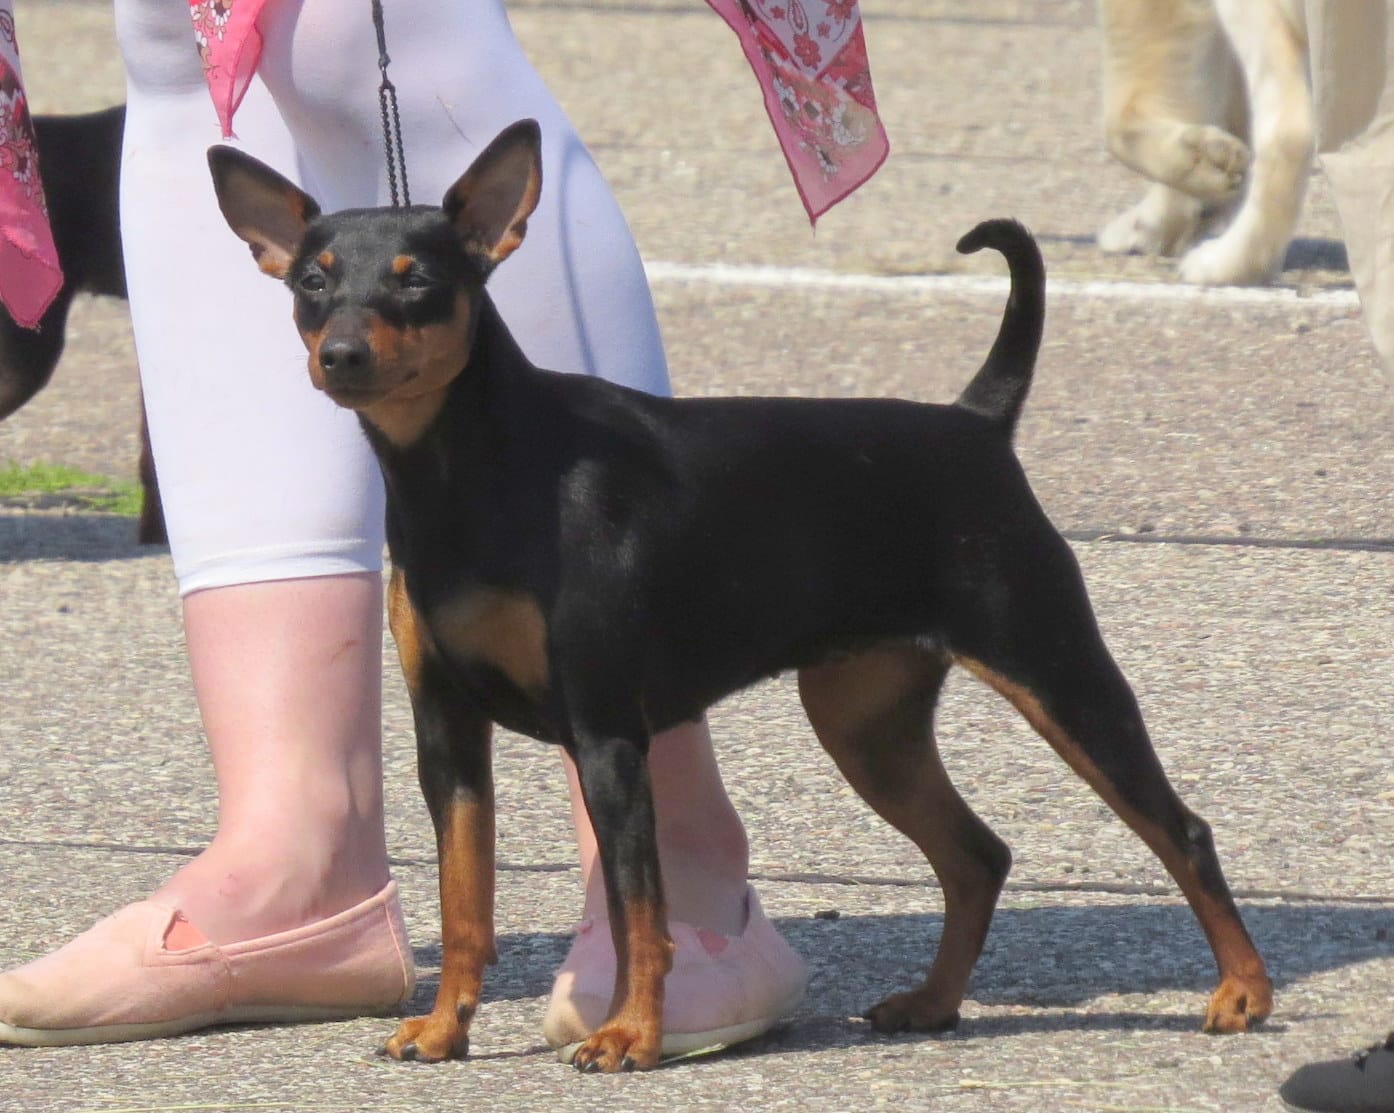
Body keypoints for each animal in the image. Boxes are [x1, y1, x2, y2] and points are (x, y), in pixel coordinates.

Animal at [206, 119, 1276, 1071]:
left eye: (417, 281)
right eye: (312, 282)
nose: (341, 356)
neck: (465, 474)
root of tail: (977, 422)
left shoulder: (607, 735)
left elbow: (641, 910)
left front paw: (630, 1036)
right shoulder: (448, 736)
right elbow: (465, 901)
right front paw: (441, 1029)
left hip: (1055, 674)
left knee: (1180, 830)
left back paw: (1243, 992)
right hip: (866, 724)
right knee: (977, 853)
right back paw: (932, 1002)